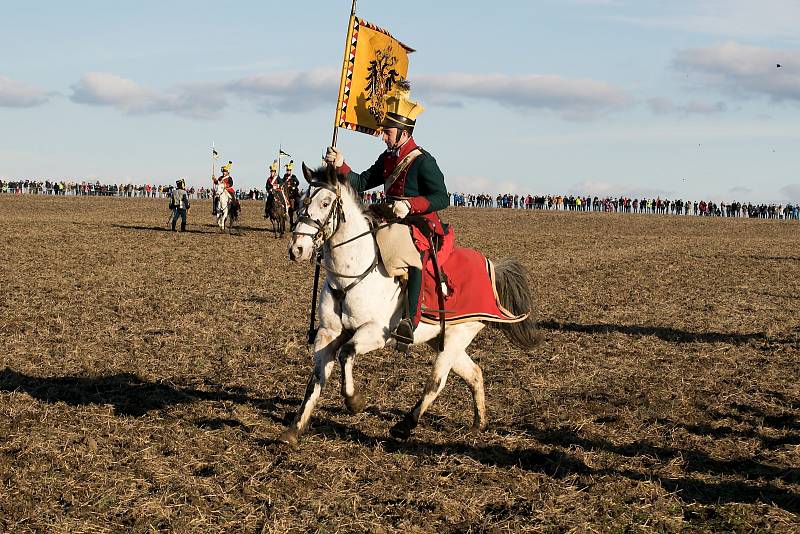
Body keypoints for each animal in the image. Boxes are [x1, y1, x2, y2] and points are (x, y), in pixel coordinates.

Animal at [278, 165, 540, 450]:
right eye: (301, 200)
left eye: (325, 203)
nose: (297, 249)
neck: (352, 273)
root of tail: (490, 266)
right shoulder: (327, 334)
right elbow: (316, 378)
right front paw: (295, 428)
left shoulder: (375, 333)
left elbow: (346, 354)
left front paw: (354, 401)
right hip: (443, 338)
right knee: (474, 373)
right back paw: (478, 423)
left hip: (459, 335)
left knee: (436, 382)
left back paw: (405, 425)